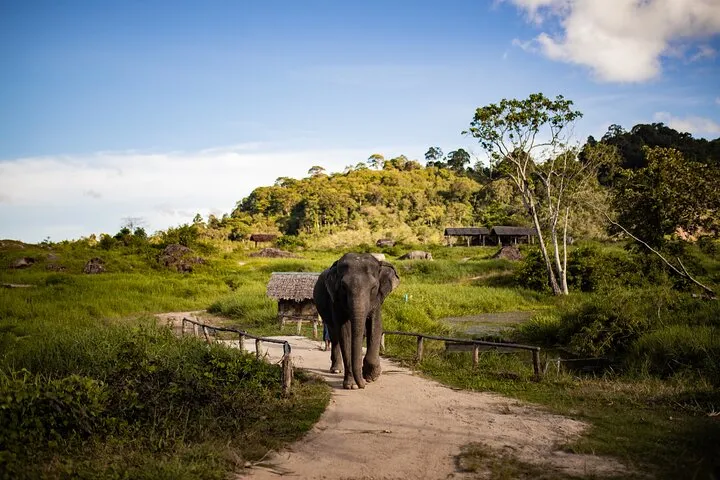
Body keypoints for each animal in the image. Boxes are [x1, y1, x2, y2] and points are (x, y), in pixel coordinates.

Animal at [313, 253, 400, 389]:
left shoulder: (377, 300)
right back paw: (336, 370)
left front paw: (371, 376)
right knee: (334, 336)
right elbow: (345, 332)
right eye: (343, 287)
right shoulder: (336, 301)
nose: (363, 385)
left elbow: (376, 326)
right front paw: (352, 385)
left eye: (374, 287)